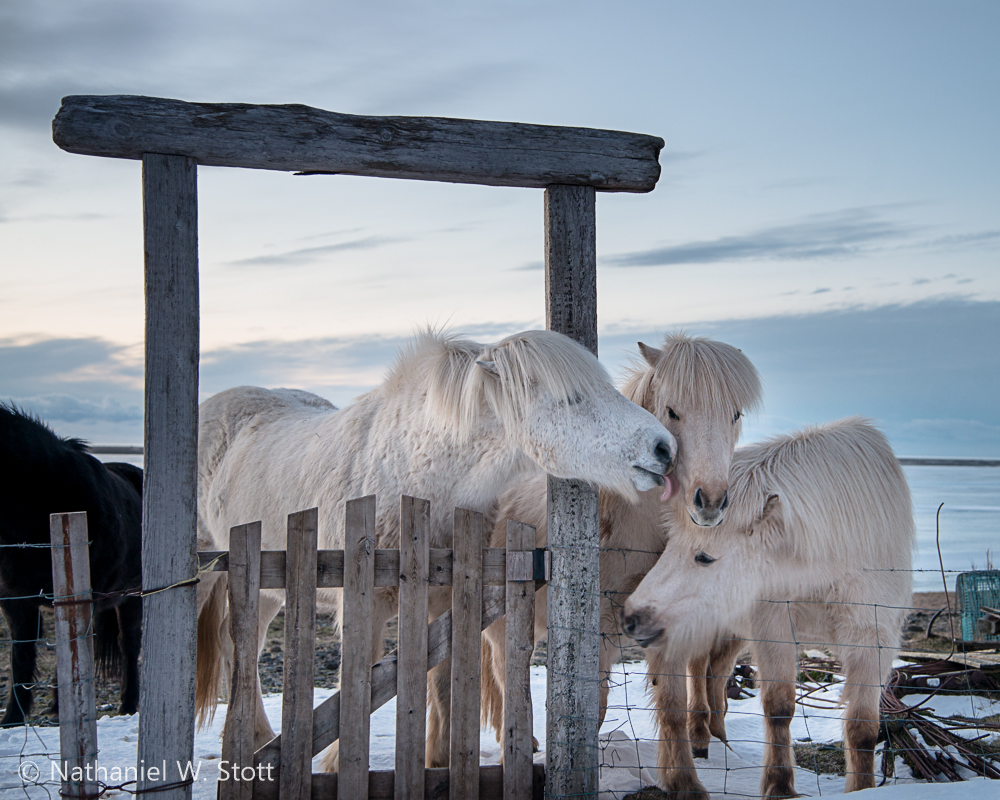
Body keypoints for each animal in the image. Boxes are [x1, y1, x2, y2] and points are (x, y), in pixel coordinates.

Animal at [0, 406, 143, 724]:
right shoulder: (15, 600)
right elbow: (21, 656)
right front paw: (12, 719)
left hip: (132, 596)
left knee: (129, 645)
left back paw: (128, 706)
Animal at [193, 328, 680, 760]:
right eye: (573, 399)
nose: (665, 449)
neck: (407, 472)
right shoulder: (361, 605)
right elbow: (356, 689)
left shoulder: (444, 603)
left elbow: (443, 687)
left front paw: (438, 760)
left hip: (267, 592)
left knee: (244, 648)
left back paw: (258, 739)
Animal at [472, 334, 760, 764]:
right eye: (672, 411)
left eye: (735, 414)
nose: (709, 502)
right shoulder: (599, 635)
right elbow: (596, 706)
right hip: (503, 626)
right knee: (503, 678)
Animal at [624, 418, 916, 800]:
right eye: (669, 547)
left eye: (705, 557)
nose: (631, 617)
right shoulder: (774, 626)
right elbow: (779, 708)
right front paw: (779, 786)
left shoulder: (873, 636)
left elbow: (863, 728)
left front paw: (861, 788)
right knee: (686, 684)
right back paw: (693, 756)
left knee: (713, 671)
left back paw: (715, 736)